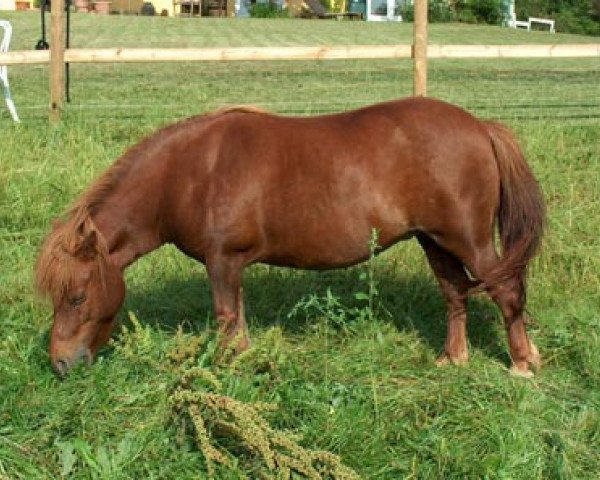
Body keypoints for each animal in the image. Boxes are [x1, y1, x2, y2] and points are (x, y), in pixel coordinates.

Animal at [35, 96, 548, 376]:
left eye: (77, 296)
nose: (59, 363)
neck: (188, 173)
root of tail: (480, 128)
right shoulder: (232, 265)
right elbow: (238, 322)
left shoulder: (222, 260)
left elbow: (226, 319)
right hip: (434, 241)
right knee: (455, 292)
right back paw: (452, 358)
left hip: (469, 240)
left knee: (505, 290)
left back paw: (523, 363)